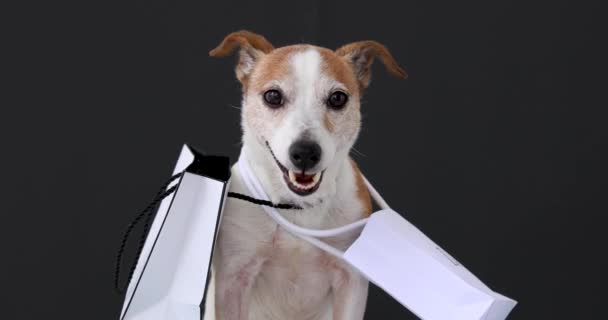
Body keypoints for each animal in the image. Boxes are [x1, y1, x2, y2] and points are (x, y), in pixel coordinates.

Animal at [205, 30, 408, 320]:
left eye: (337, 98)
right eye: (273, 96)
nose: (305, 152)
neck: (297, 207)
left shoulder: (350, 283)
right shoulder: (234, 279)